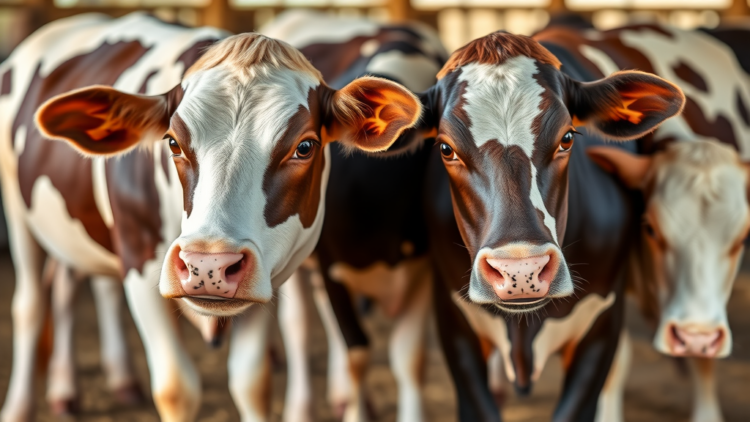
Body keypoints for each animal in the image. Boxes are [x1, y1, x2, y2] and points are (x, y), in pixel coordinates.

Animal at [0, 12, 421, 421]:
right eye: (173, 143)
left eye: (305, 147)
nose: (208, 265)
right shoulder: (139, 263)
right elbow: (176, 389)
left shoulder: (265, 280)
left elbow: (253, 384)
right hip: (18, 217)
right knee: (30, 306)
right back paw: (20, 406)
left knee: (70, 287)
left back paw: (84, 388)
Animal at [260, 10, 447, 422]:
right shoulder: (331, 267)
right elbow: (357, 352)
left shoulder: (423, 268)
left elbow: (410, 358)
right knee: (299, 328)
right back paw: (302, 407)